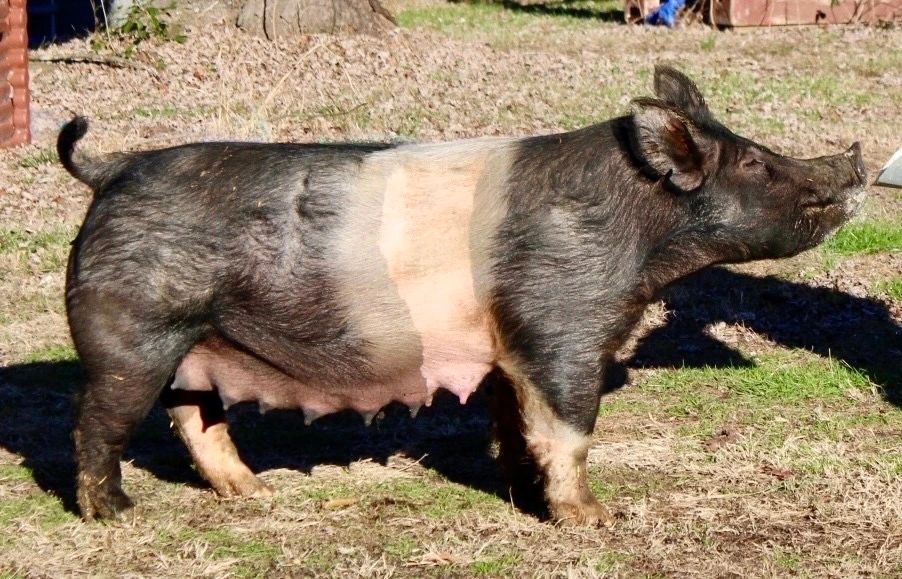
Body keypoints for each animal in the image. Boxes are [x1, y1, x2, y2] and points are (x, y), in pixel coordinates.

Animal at [60, 66, 866, 525]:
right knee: (99, 423)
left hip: (196, 342)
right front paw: (595, 520)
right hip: (131, 332)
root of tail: (112, 169)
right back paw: (118, 515)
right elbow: (570, 427)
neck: (643, 239)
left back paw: (252, 494)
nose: (853, 160)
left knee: (195, 419)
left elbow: (516, 423)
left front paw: (521, 494)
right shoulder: (561, 323)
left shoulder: (508, 348)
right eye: (756, 165)